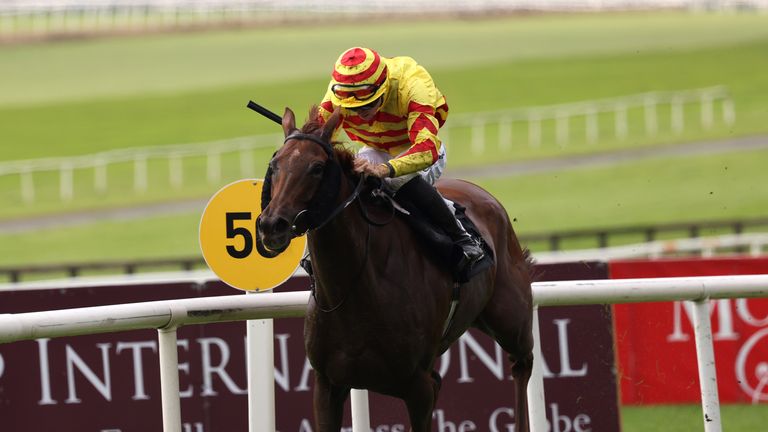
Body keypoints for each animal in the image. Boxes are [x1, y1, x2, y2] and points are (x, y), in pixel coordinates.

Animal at [258, 106, 536, 430]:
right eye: (274, 164)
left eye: (316, 168)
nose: (271, 225)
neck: (355, 287)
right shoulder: (327, 384)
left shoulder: (418, 386)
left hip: (510, 319)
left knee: (522, 363)